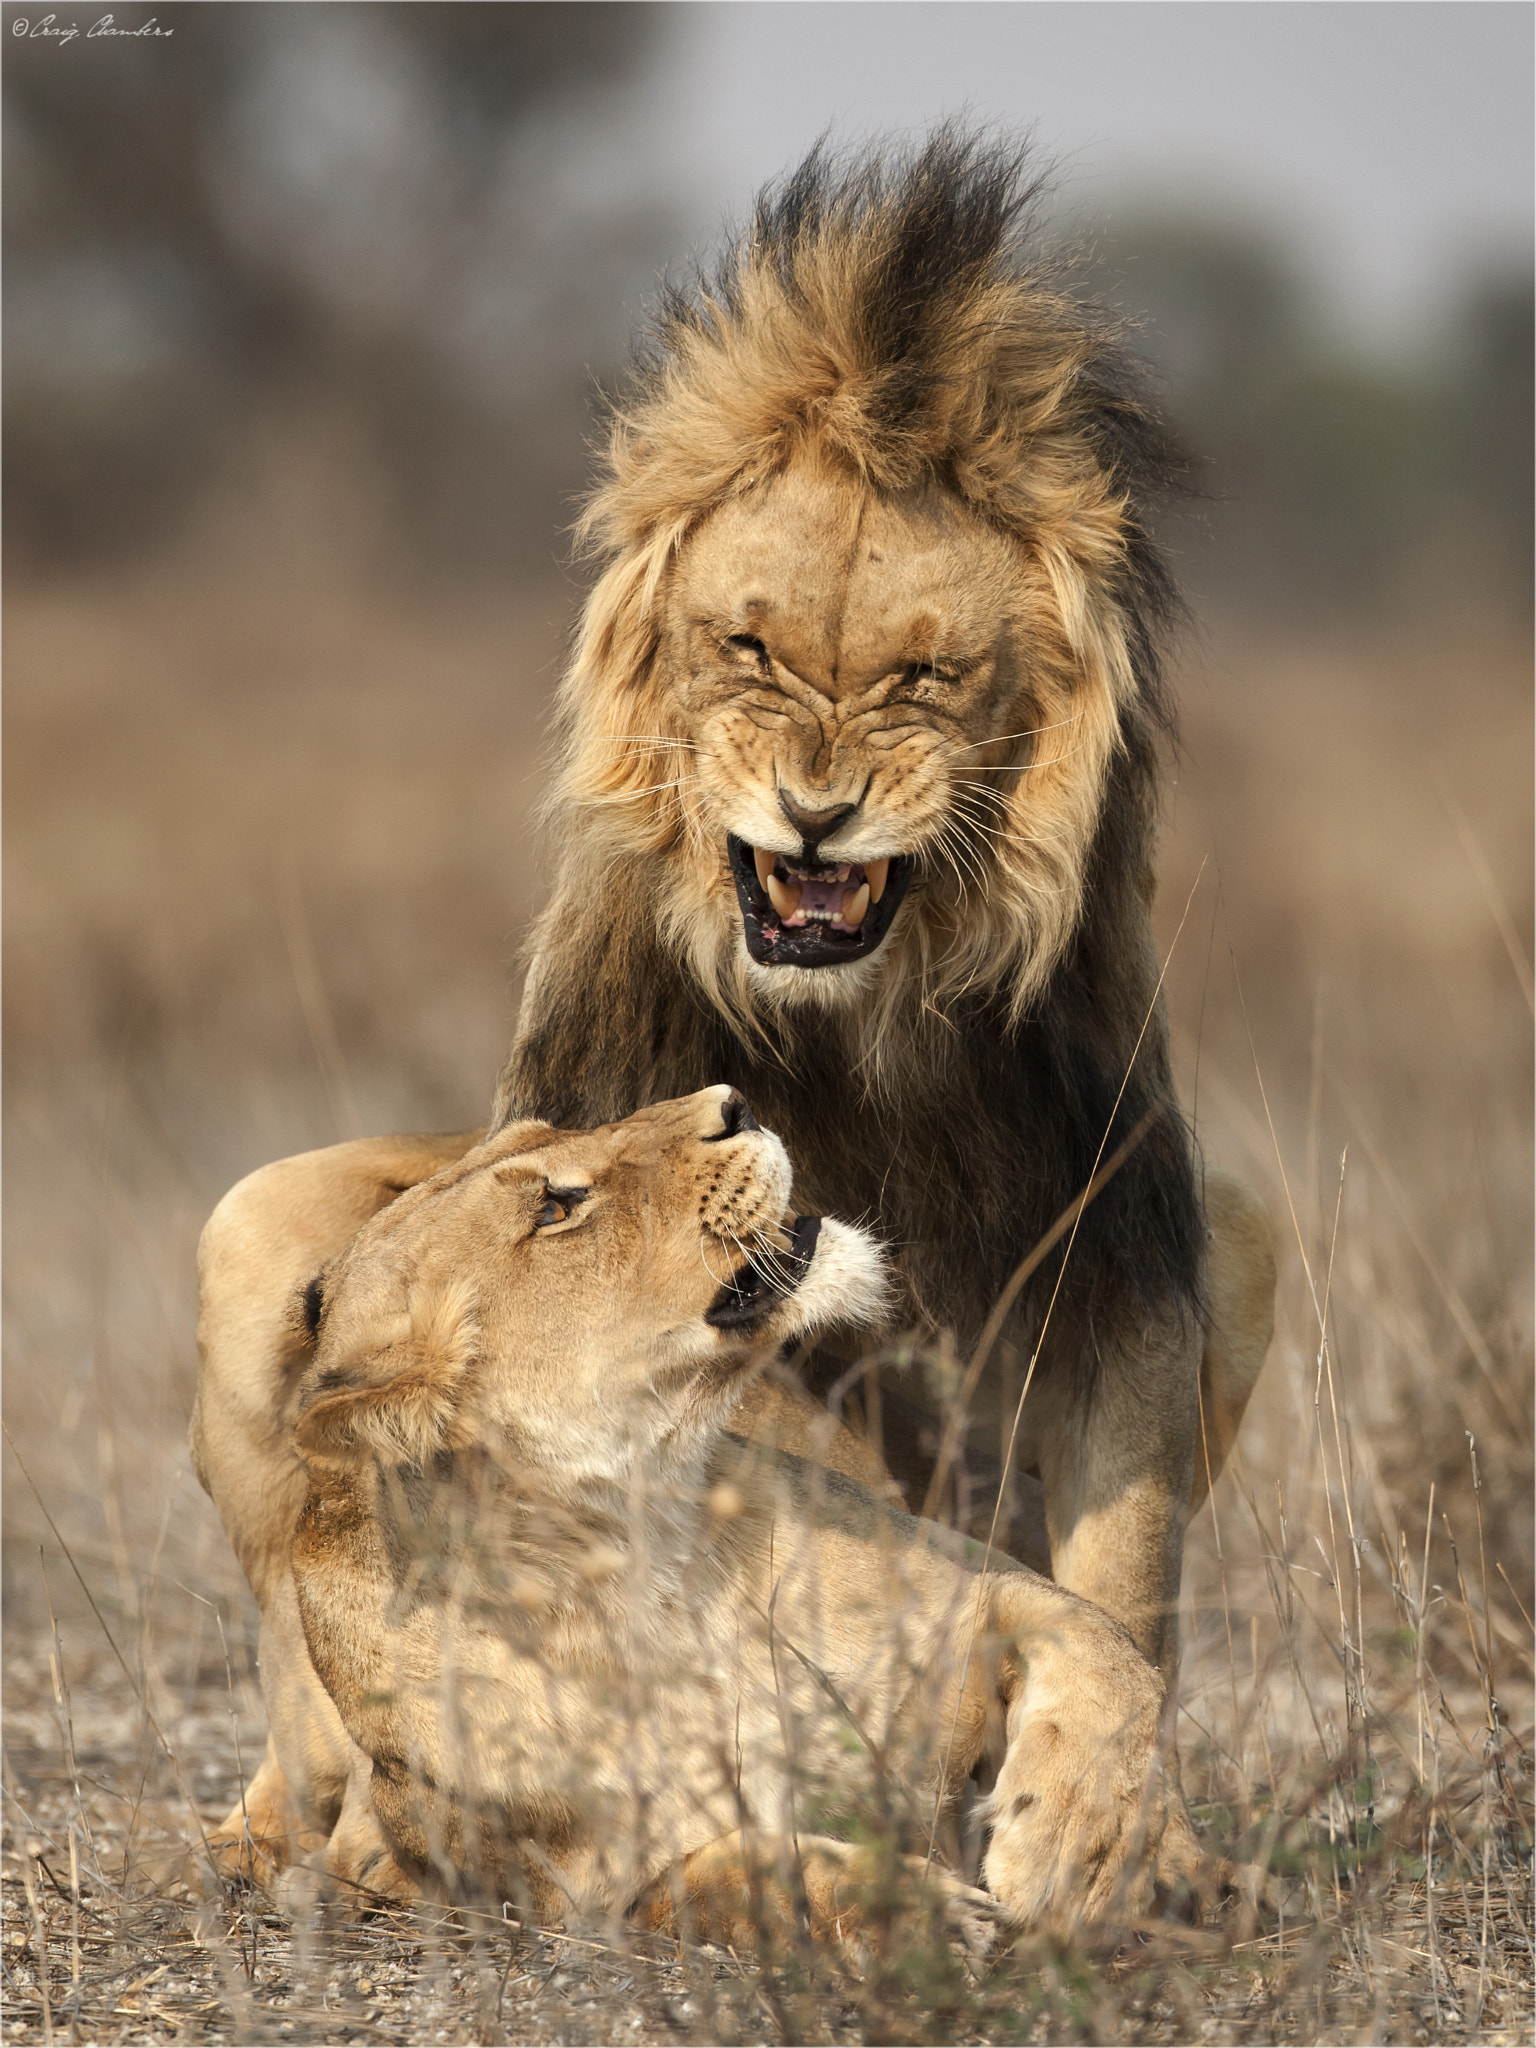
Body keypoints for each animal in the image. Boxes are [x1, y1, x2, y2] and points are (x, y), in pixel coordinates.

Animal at [264, 1086, 1196, 1944]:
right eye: (556, 1207)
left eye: (550, 1133)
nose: (733, 1102)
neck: (639, 1561)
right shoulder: (577, 1900)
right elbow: (744, 1877)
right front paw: (916, 1917)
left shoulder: (971, 1585)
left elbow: (1104, 1648)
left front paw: (1074, 1849)